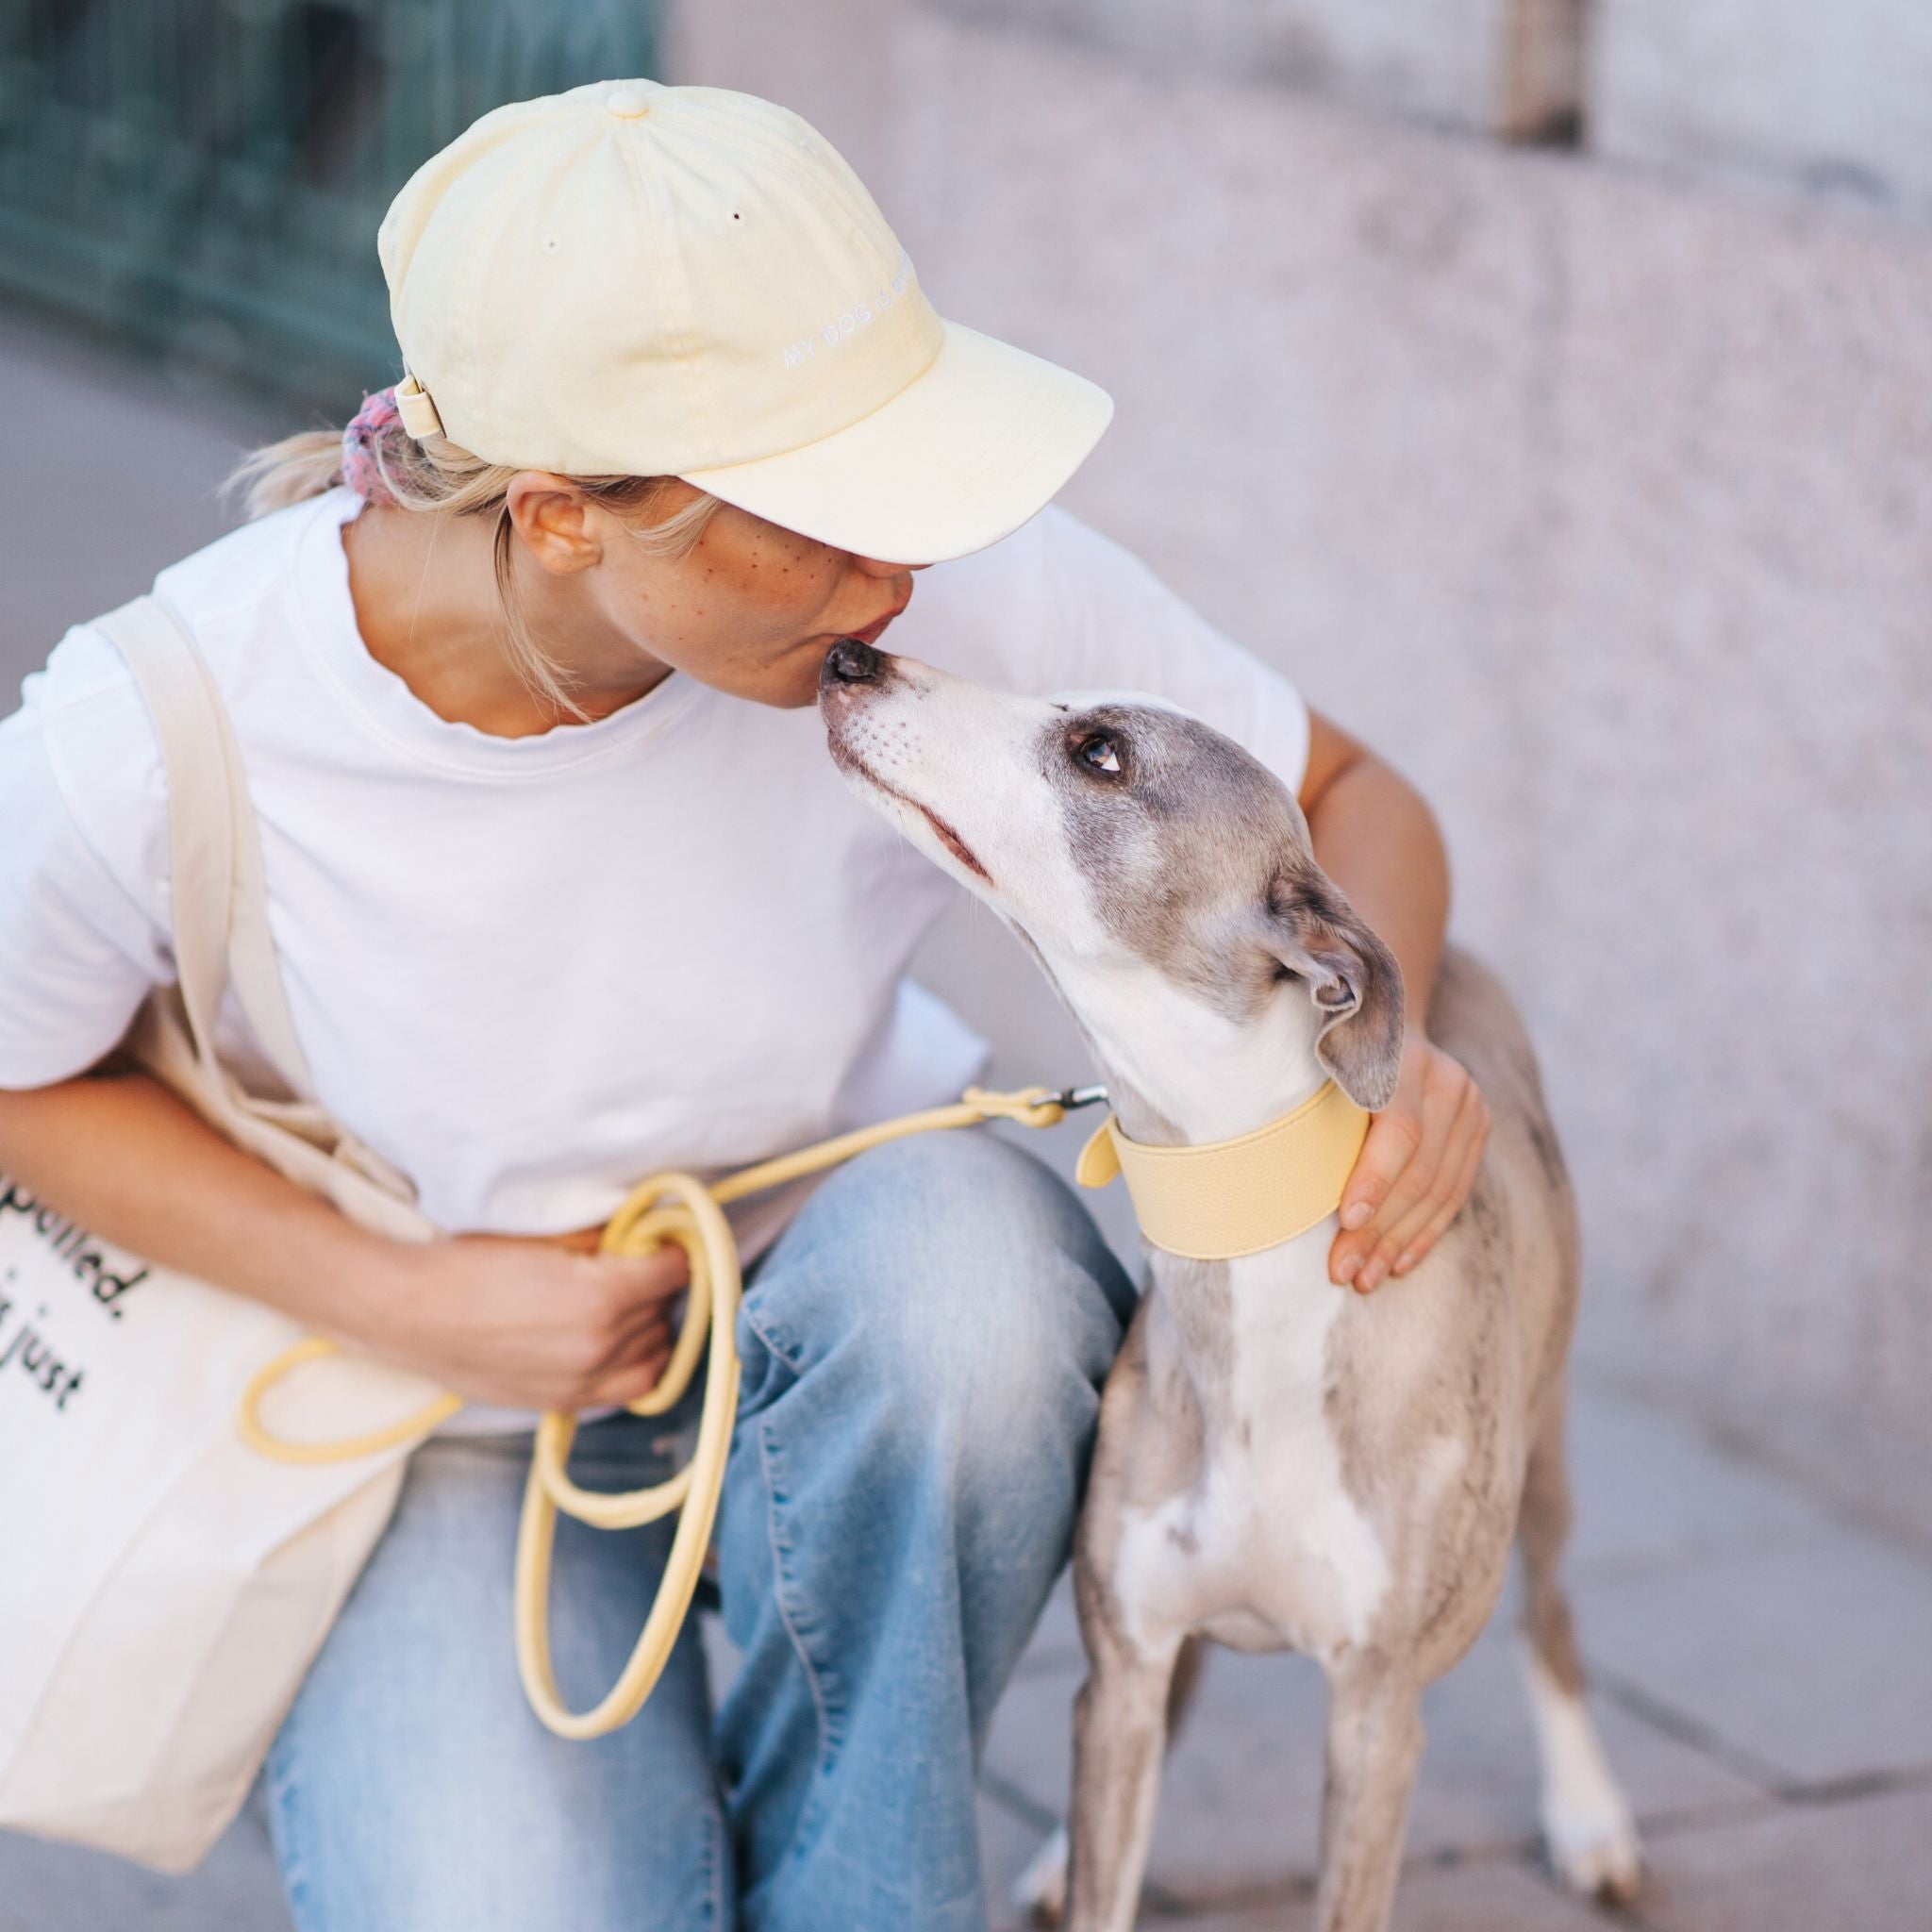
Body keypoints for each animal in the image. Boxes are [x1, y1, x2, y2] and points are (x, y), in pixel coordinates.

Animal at [819, 641, 1645, 1924]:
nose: (851, 654)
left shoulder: (1375, 1720)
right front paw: (1080, 1859)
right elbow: (1117, 1808)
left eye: (1101, 752)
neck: (1255, 1281)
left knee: (1548, 1603)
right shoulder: (1119, 1659)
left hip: (1543, 1444)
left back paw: (1589, 1816)